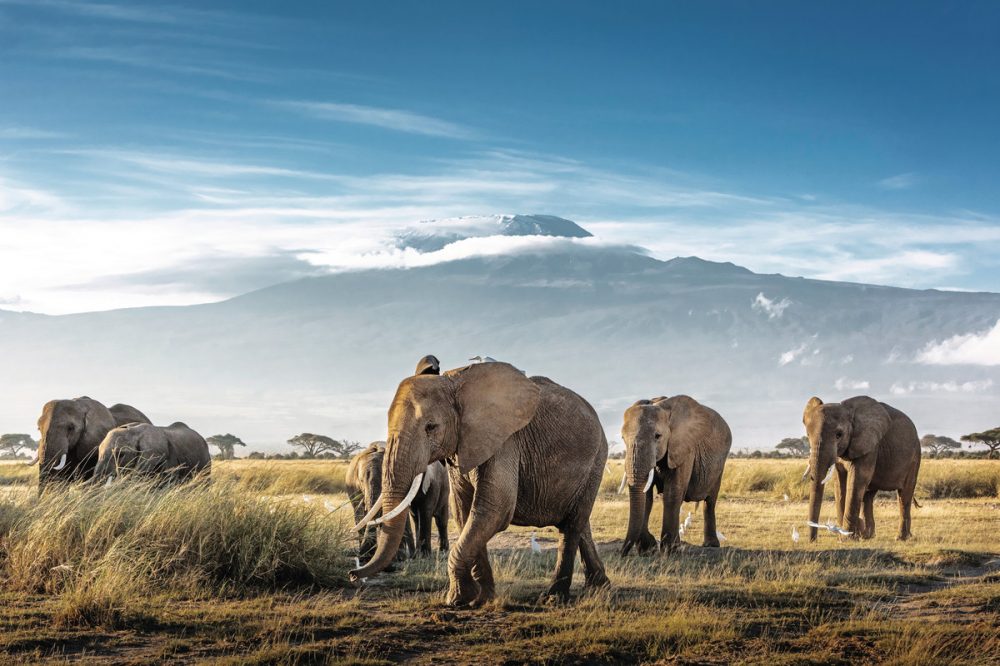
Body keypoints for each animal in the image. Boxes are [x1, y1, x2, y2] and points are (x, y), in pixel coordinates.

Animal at [350, 360, 608, 604]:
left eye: (431, 427)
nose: (353, 574)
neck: (454, 382)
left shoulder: (505, 442)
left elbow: (494, 509)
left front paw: (458, 599)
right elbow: (465, 512)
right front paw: (481, 598)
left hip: (597, 459)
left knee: (572, 525)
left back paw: (554, 598)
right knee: (579, 522)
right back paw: (599, 585)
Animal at [620, 394, 732, 556]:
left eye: (657, 436)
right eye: (622, 438)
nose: (622, 554)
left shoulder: (685, 449)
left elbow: (672, 493)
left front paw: (670, 550)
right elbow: (647, 497)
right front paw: (649, 549)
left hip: (719, 465)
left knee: (710, 501)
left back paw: (710, 545)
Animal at [804, 394, 920, 540]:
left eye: (839, 435)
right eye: (808, 435)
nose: (812, 540)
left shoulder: (870, 446)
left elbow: (857, 480)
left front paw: (847, 538)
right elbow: (839, 483)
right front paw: (848, 535)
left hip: (914, 458)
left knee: (904, 496)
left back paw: (901, 538)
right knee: (868, 496)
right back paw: (867, 536)